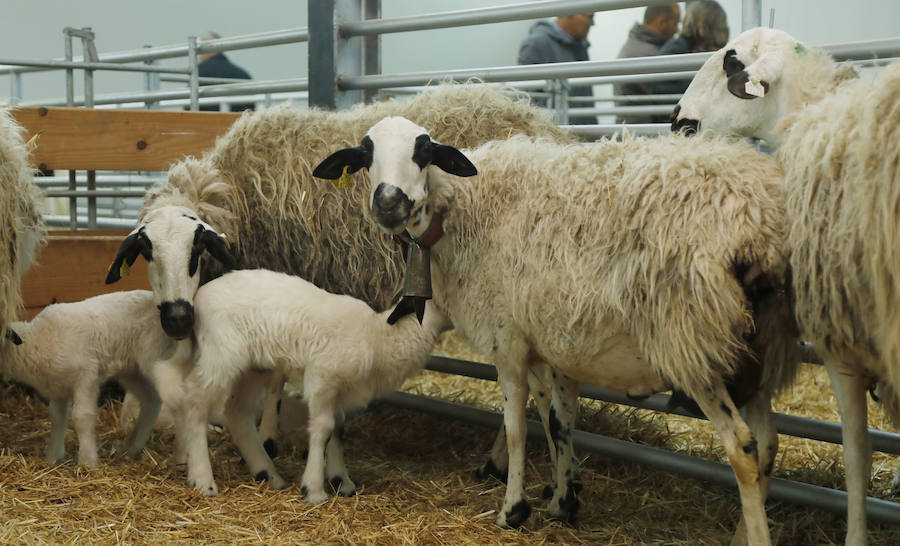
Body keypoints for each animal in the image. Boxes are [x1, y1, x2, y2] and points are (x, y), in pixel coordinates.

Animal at [0, 292, 176, 466]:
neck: (37, 342)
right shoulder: (58, 387)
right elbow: (57, 417)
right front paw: (53, 457)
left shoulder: (86, 376)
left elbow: (81, 417)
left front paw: (87, 462)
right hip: (133, 371)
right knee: (151, 401)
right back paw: (131, 448)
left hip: (156, 357)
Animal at [159, 266, 454, 500]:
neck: (379, 336)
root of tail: (199, 297)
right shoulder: (322, 379)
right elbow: (323, 428)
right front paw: (314, 489)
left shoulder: (339, 391)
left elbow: (338, 430)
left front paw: (341, 481)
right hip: (221, 354)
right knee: (195, 404)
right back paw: (203, 479)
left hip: (255, 365)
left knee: (237, 413)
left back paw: (268, 474)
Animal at [316, 115, 800, 540]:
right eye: (366, 155)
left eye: (424, 151)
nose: (389, 203)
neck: (461, 210)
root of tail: (755, 221)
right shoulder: (555, 343)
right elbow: (557, 420)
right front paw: (564, 500)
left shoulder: (508, 340)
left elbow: (517, 428)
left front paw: (514, 510)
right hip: (758, 351)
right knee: (768, 443)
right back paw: (741, 533)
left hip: (692, 342)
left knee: (742, 446)